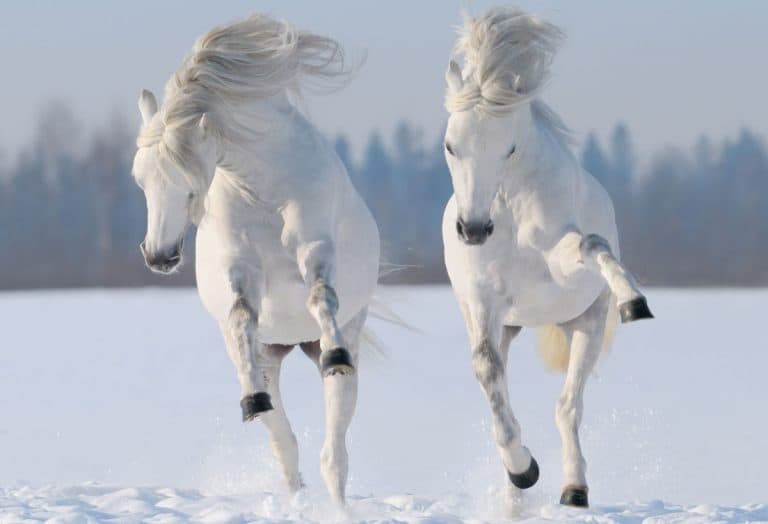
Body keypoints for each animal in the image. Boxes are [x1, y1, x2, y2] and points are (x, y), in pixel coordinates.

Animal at [131, 14, 380, 506]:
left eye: (188, 182)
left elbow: (321, 296)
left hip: (340, 347)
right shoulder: (240, 269)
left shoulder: (315, 248)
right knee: (285, 446)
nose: (158, 256)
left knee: (334, 453)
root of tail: (293, 343)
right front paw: (250, 399)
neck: (265, 189)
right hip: (271, 355)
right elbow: (242, 316)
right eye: (140, 180)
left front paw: (336, 352)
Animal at [441, 7, 654, 508]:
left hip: (585, 326)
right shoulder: (484, 300)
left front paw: (634, 301)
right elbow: (487, 373)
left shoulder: (561, 261)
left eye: (509, 147)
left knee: (568, 407)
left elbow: (592, 245)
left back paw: (574, 489)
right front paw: (523, 471)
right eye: (451, 145)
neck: (508, 209)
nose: (473, 229)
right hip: (507, 325)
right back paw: (515, 498)